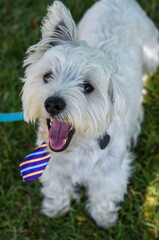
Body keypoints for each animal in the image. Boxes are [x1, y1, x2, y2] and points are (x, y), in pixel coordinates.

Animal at [21, 0, 159, 227]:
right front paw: (56, 208)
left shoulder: (111, 174)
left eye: (87, 87)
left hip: (152, 54)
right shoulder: (53, 167)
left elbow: (103, 196)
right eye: (47, 76)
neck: (78, 149)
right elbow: (57, 187)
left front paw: (104, 219)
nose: (53, 104)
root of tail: (119, 1)